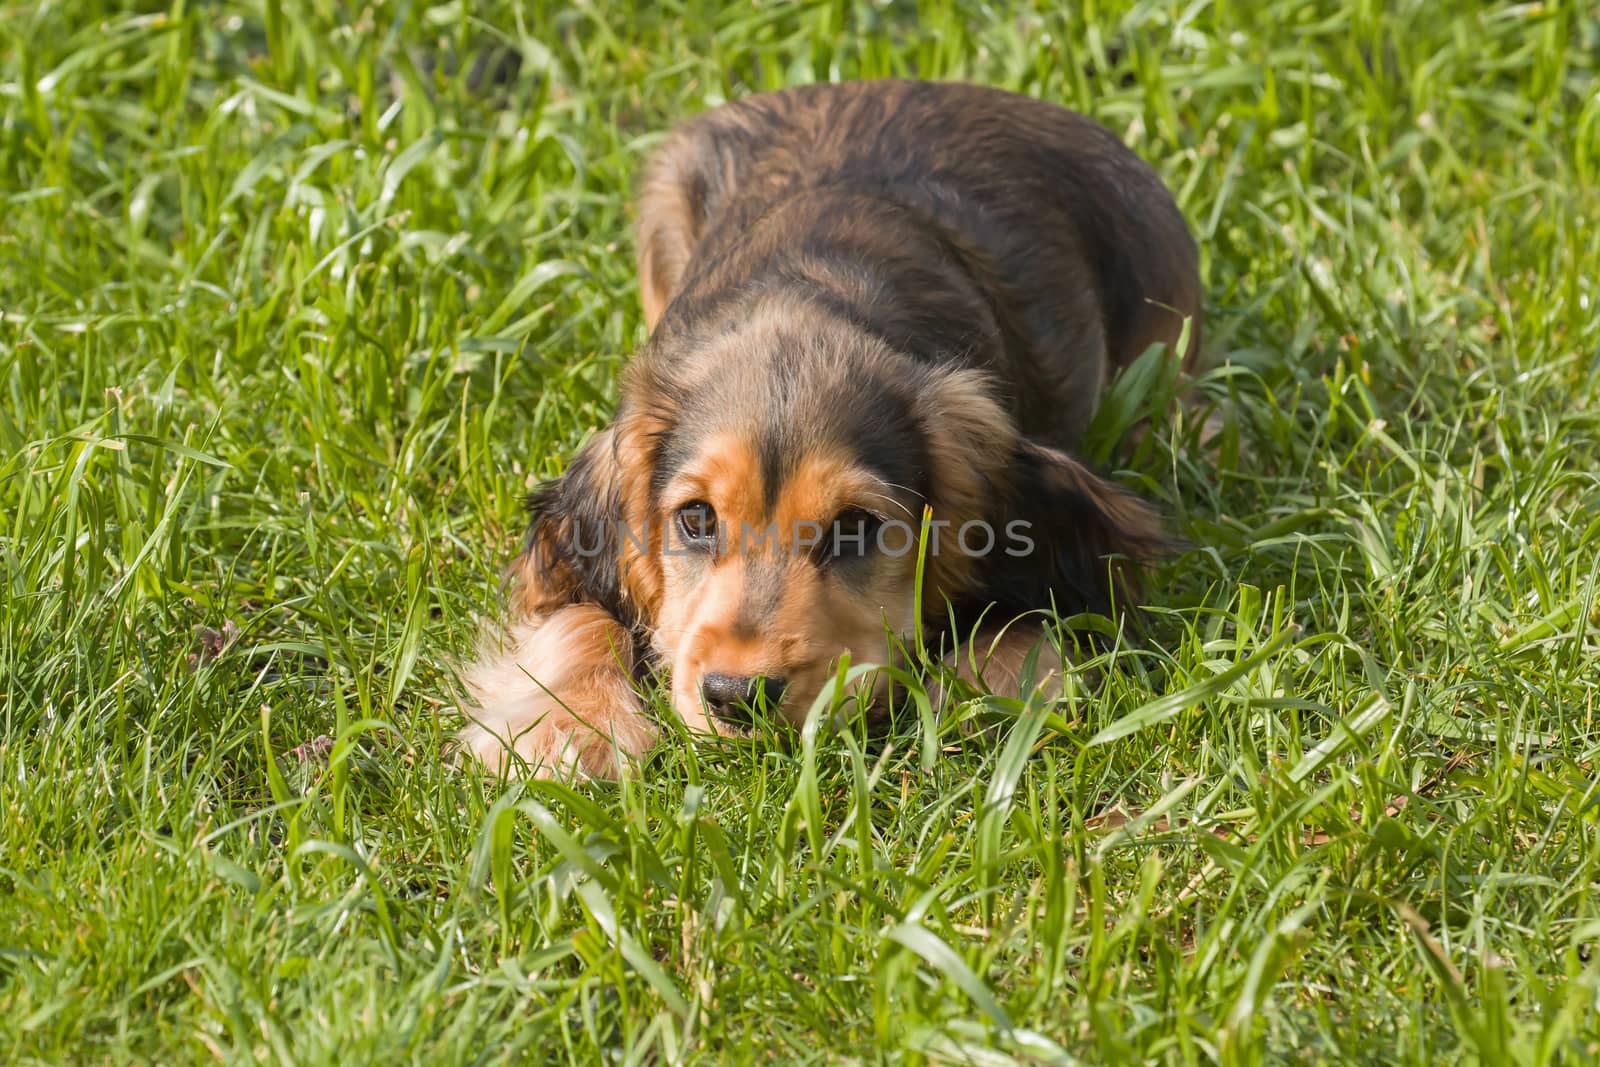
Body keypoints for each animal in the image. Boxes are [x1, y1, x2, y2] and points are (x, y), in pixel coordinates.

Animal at [457, 75, 1196, 777]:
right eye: (695, 518)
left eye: (856, 527)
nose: (737, 697)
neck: (812, 290)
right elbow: (581, 611)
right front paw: (573, 727)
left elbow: (1026, 603)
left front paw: (981, 685)